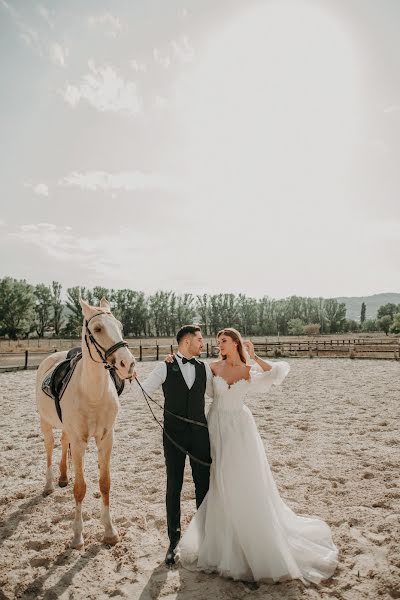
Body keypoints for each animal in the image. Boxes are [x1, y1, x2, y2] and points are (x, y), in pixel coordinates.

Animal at [36, 296, 136, 548]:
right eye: (98, 329)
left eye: (120, 326)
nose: (128, 364)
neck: (92, 393)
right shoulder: (80, 442)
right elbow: (80, 488)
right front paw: (77, 536)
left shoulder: (106, 439)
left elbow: (105, 483)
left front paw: (110, 531)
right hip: (45, 423)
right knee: (50, 448)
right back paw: (49, 485)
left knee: (63, 444)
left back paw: (63, 477)